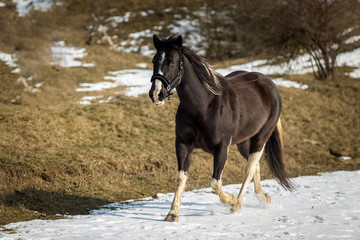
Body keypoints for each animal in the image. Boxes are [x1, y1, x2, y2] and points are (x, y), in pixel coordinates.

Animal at [149, 33, 292, 221]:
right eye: (154, 61)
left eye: (171, 62)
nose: (156, 94)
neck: (204, 106)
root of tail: (269, 83)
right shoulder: (182, 144)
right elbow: (181, 177)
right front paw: (173, 213)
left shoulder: (222, 148)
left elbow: (215, 183)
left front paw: (231, 200)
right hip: (244, 142)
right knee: (255, 167)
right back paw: (263, 197)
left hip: (260, 139)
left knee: (249, 170)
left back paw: (237, 204)